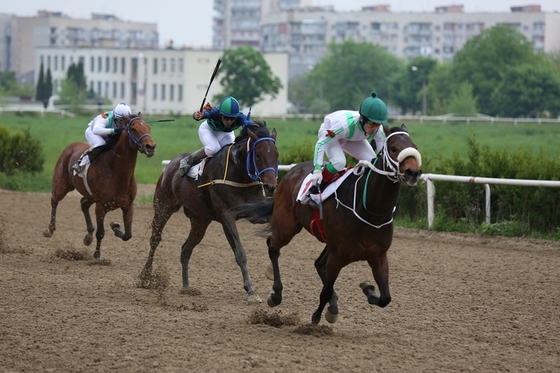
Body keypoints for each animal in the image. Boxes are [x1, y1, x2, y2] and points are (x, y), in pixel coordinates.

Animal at [43, 114, 158, 258]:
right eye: (134, 128)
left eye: (148, 127)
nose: (150, 147)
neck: (117, 172)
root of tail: (71, 146)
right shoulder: (101, 206)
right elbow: (101, 232)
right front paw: (97, 254)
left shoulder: (128, 205)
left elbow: (128, 235)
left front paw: (115, 227)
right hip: (62, 184)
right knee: (54, 200)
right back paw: (50, 229)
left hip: (90, 195)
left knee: (83, 203)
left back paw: (88, 236)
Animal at [138, 120, 278, 304]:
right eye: (258, 155)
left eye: (276, 155)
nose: (270, 187)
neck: (239, 173)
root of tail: (171, 165)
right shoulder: (227, 217)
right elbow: (240, 253)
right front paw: (251, 292)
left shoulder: (256, 213)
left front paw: (270, 271)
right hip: (164, 207)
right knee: (155, 239)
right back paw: (145, 276)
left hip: (200, 220)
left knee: (186, 249)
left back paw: (186, 287)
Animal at [234, 123, 422, 322]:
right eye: (394, 149)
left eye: (415, 147)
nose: (413, 172)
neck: (370, 209)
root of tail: (291, 171)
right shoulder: (338, 256)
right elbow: (325, 291)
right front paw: (315, 318)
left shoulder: (378, 255)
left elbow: (385, 297)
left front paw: (368, 290)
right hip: (287, 226)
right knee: (273, 246)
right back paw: (276, 294)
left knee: (317, 263)